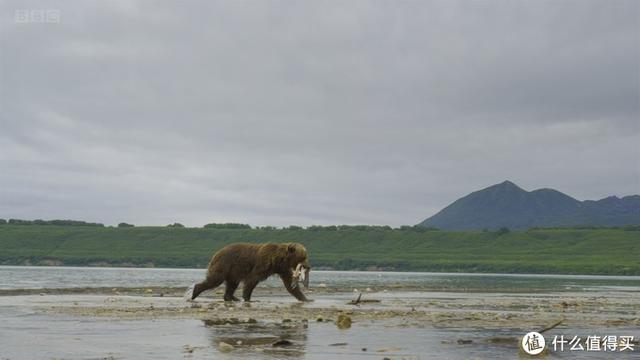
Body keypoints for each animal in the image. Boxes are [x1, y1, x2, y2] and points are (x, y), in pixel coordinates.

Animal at [184, 243, 312, 302]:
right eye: (303, 257)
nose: (308, 266)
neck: (279, 260)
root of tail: (217, 252)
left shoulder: (283, 269)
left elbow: (290, 284)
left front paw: (306, 298)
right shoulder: (262, 264)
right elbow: (252, 280)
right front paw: (248, 298)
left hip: (232, 271)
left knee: (232, 284)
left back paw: (232, 297)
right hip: (224, 264)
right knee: (214, 280)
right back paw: (193, 293)